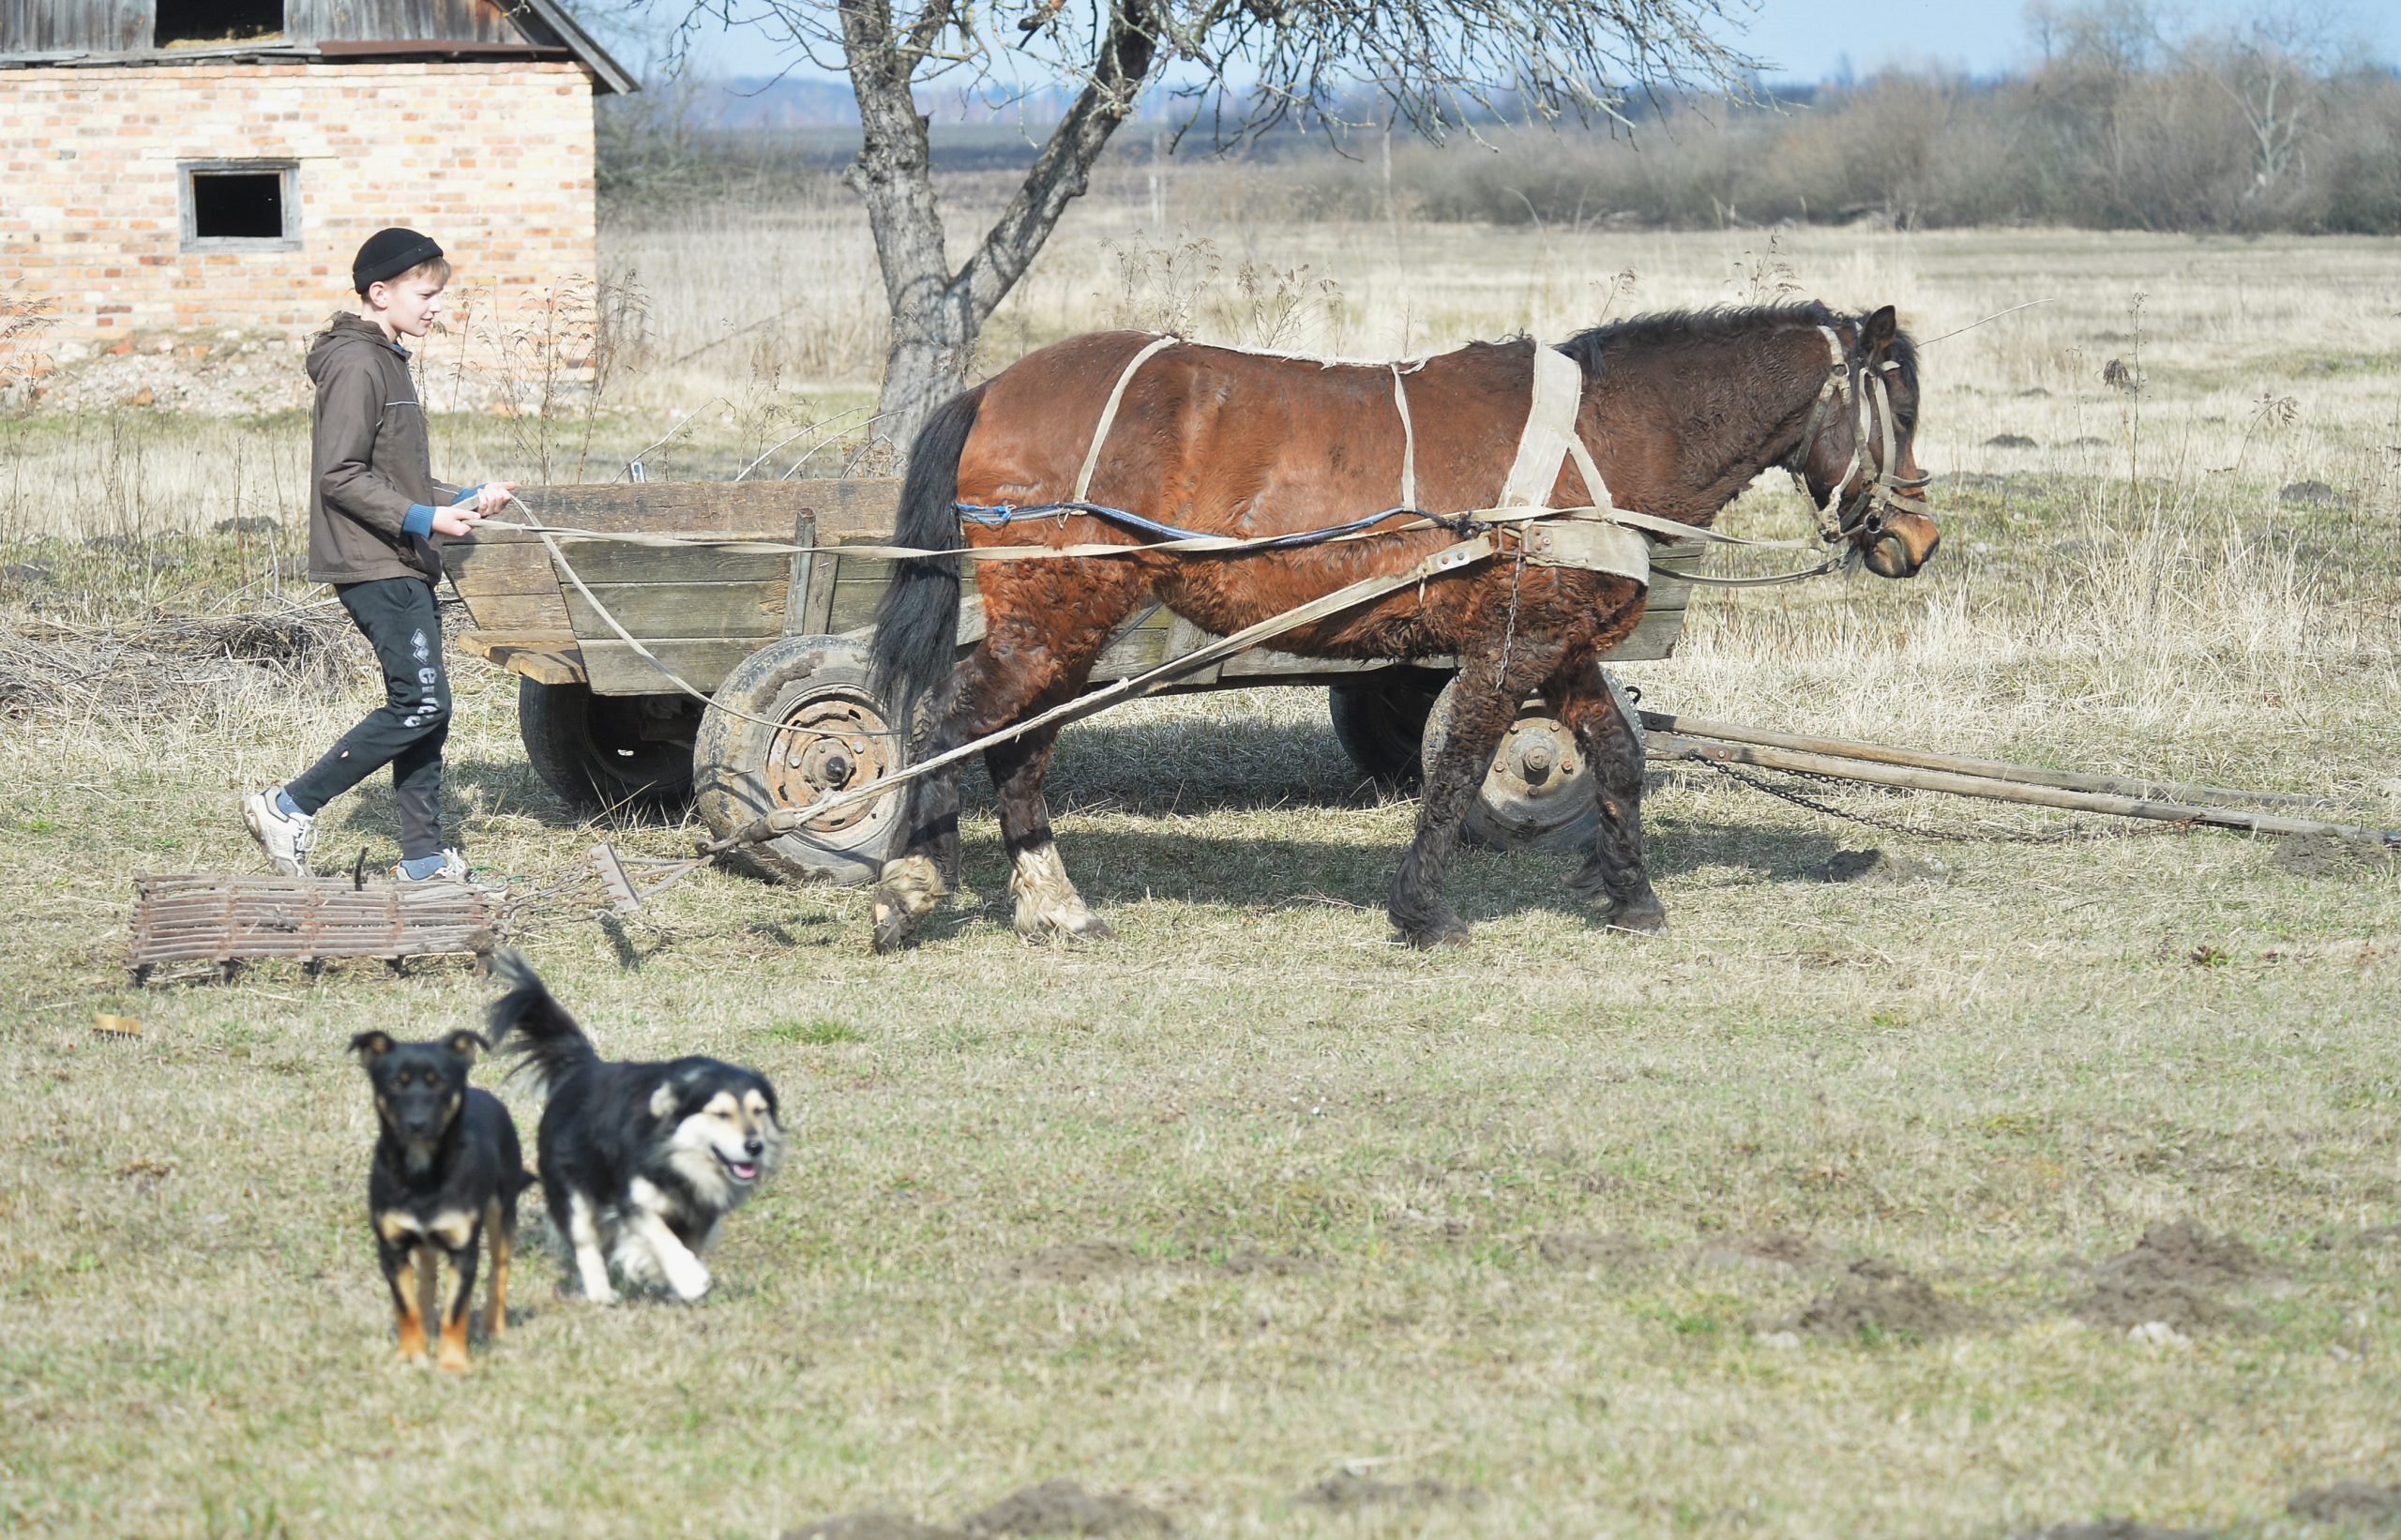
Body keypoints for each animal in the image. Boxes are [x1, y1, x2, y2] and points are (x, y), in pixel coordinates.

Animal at [350, 1028, 530, 1365]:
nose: (417, 1123)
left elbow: (455, 1313)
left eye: (440, 1082)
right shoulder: (392, 1249)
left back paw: (493, 1327)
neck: (422, 1172)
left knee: (499, 1270)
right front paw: (411, 1354)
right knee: (428, 1277)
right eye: (396, 1082)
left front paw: (452, 1363)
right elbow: (406, 1307)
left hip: (502, 1212)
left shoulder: (463, 1249)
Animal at [487, 956, 787, 1306]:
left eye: (759, 1110)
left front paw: (669, 1279)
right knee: (584, 1241)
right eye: (721, 1114)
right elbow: (661, 1237)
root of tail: (582, 1068)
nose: (755, 1147)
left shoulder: (701, 1210)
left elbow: (688, 1242)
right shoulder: (631, 1197)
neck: (675, 1158)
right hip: (570, 1184)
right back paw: (601, 1293)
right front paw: (689, 1279)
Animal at [859, 297, 1930, 951]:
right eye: (1904, 408)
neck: (1599, 436)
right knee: (951, 721)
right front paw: (1423, 910)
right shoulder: (1509, 644)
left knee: (1018, 744)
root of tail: (995, 387)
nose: (1915, 536)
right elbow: (1459, 765)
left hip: (1070, 623)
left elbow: (1619, 758)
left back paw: (1053, 904)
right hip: (1053, 611)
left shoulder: (1563, 643)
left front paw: (1631, 896)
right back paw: (910, 882)